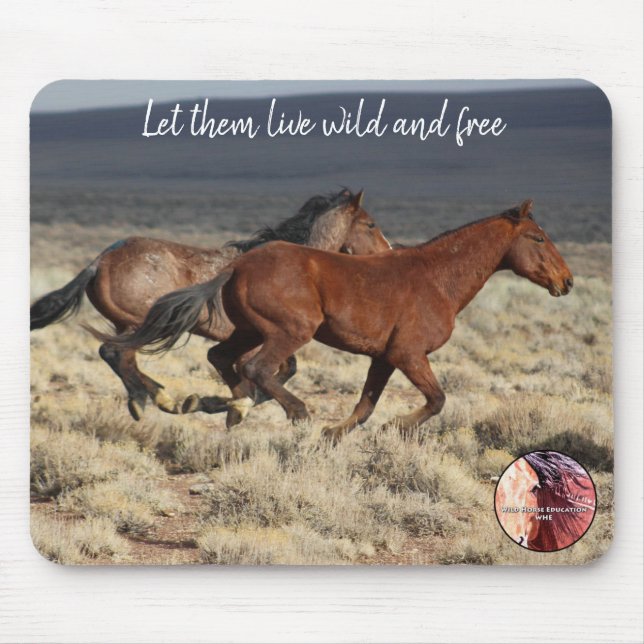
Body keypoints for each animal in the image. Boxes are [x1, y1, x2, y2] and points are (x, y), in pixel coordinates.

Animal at [31, 189, 391, 421]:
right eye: (370, 224)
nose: (389, 251)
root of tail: (99, 262)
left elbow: (274, 372)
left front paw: (223, 406)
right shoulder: (259, 340)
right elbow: (267, 373)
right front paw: (233, 407)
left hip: (128, 325)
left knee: (118, 356)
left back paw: (159, 399)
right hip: (138, 324)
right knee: (116, 354)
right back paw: (152, 400)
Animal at [101, 200, 573, 438]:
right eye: (538, 238)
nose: (566, 281)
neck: (437, 279)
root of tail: (235, 267)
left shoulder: (384, 357)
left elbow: (365, 405)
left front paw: (337, 433)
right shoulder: (409, 354)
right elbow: (437, 400)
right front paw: (394, 427)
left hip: (250, 330)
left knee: (224, 359)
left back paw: (231, 408)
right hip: (291, 331)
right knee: (257, 369)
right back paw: (294, 413)